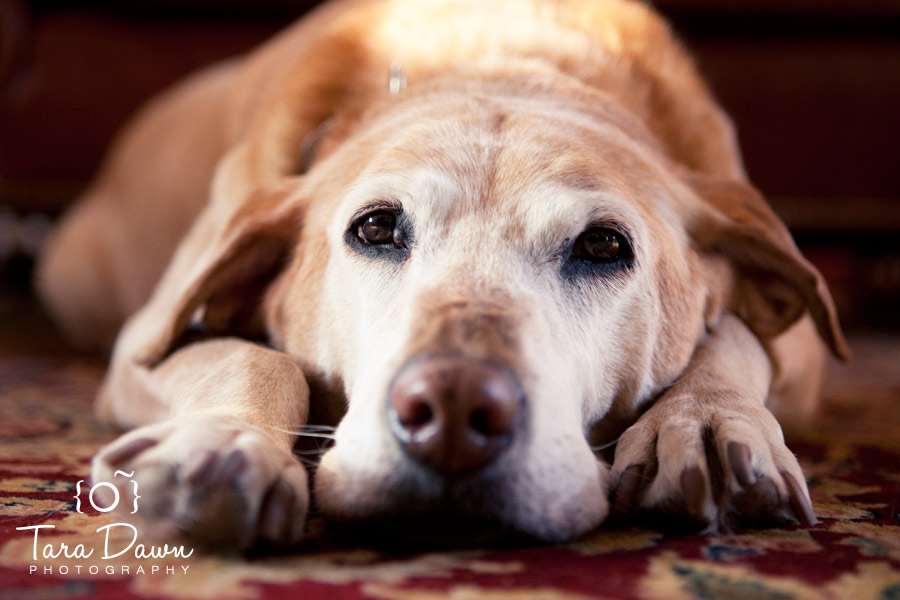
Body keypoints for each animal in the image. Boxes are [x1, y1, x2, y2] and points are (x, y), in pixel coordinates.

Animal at [37, 0, 852, 552]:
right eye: (374, 228)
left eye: (603, 245)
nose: (456, 411)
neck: (505, 63)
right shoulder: (140, 347)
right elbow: (255, 358)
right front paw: (222, 445)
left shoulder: (807, 351)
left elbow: (740, 337)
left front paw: (708, 421)